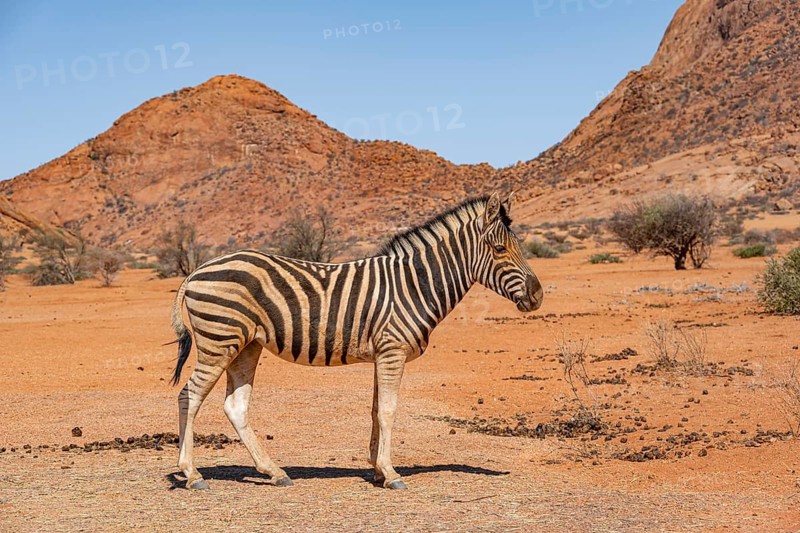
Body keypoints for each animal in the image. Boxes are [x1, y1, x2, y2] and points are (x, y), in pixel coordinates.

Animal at [170, 192, 543, 490]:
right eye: (499, 249)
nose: (538, 296)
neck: (415, 284)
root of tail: (197, 270)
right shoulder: (392, 351)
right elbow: (389, 410)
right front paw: (391, 474)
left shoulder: (383, 354)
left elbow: (377, 410)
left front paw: (377, 469)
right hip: (219, 342)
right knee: (190, 395)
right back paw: (192, 474)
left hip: (246, 345)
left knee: (235, 406)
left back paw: (274, 472)